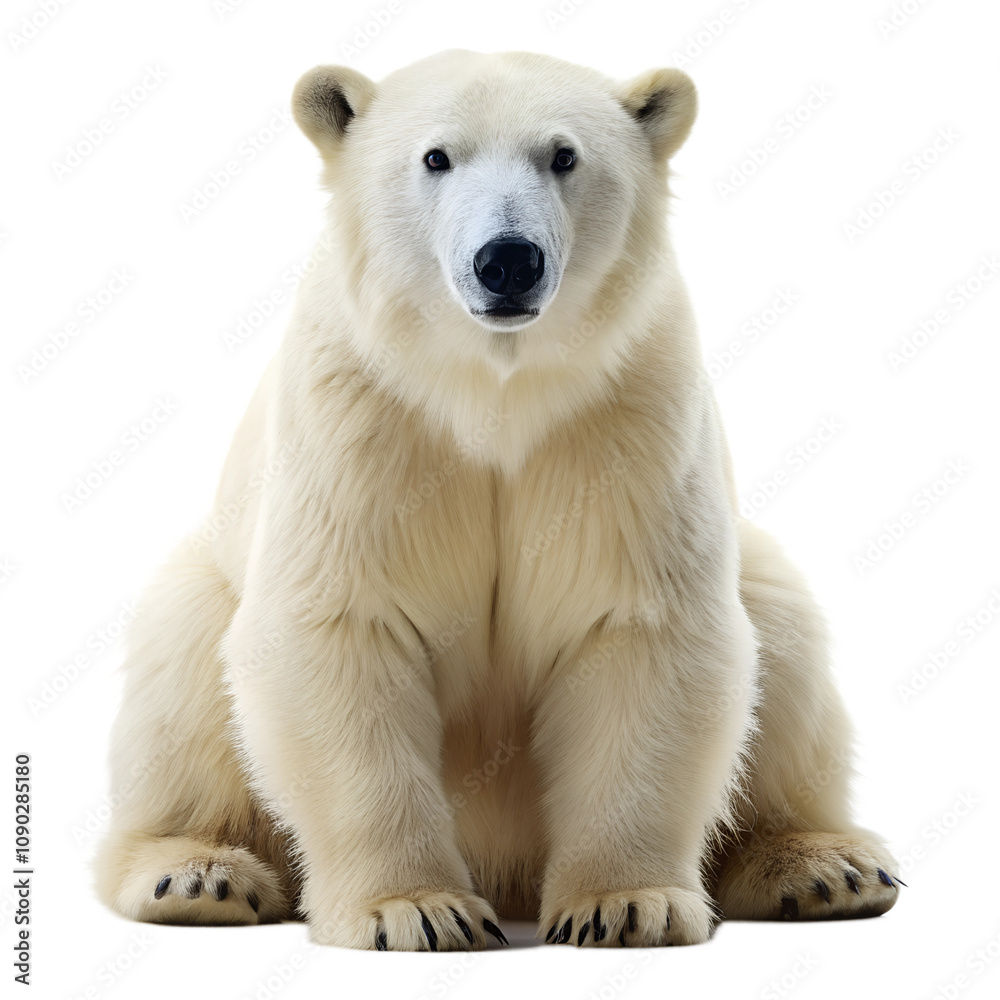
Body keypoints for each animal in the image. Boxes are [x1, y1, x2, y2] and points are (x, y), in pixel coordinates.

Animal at [94, 50, 901, 950]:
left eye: (564, 155)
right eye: (436, 157)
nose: (507, 260)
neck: (493, 389)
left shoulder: (622, 414)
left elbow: (643, 628)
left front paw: (626, 904)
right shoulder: (365, 415)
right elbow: (339, 627)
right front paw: (414, 910)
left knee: (784, 638)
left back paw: (823, 867)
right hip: (205, 587)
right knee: (181, 665)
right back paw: (197, 874)